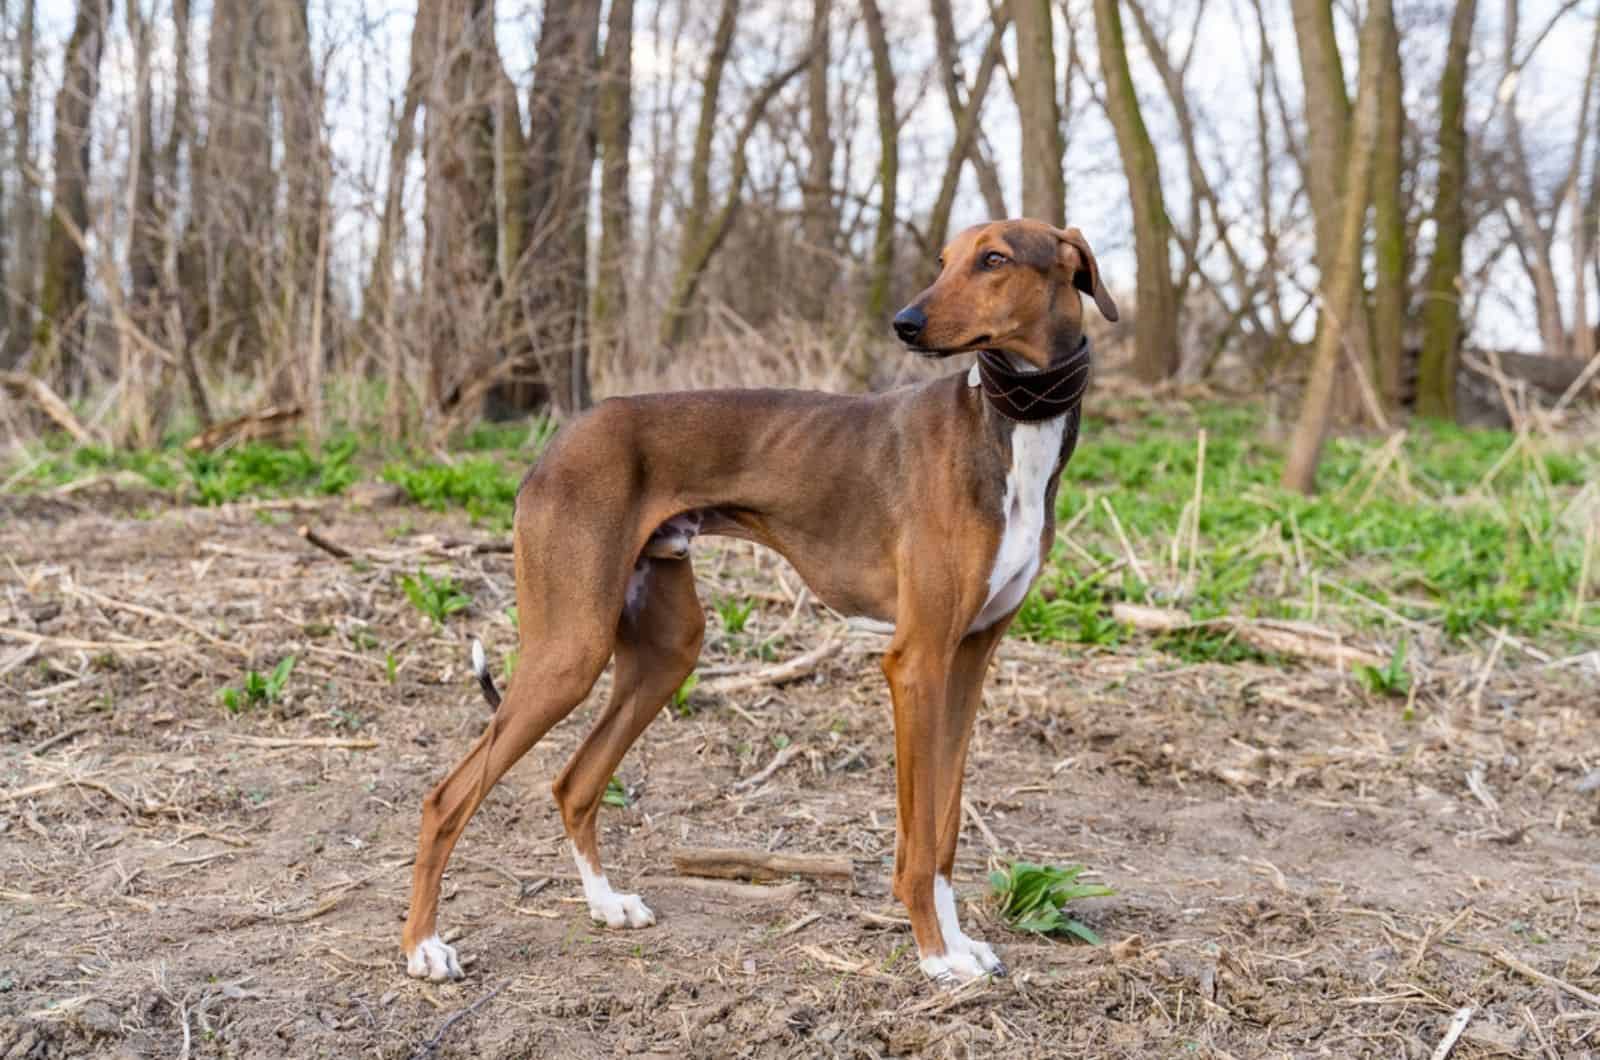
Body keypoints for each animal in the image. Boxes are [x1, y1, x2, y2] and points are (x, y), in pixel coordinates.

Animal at [406, 217, 1120, 986]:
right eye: (944, 260)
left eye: (992, 259)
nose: (905, 322)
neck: (1010, 431)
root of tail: (555, 445)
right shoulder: (916, 662)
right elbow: (918, 839)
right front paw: (935, 956)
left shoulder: (969, 660)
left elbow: (946, 825)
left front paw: (960, 945)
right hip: (572, 649)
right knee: (446, 797)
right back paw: (423, 946)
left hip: (665, 650)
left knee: (574, 781)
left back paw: (606, 904)